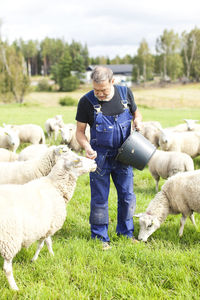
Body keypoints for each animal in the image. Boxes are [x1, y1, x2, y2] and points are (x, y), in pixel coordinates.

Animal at [0, 149, 97, 290]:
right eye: (77, 160)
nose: (95, 162)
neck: (54, 186)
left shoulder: (46, 225)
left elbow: (46, 243)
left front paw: (47, 256)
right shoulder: (49, 225)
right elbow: (44, 243)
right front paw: (41, 257)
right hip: (9, 240)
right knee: (7, 269)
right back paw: (15, 288)